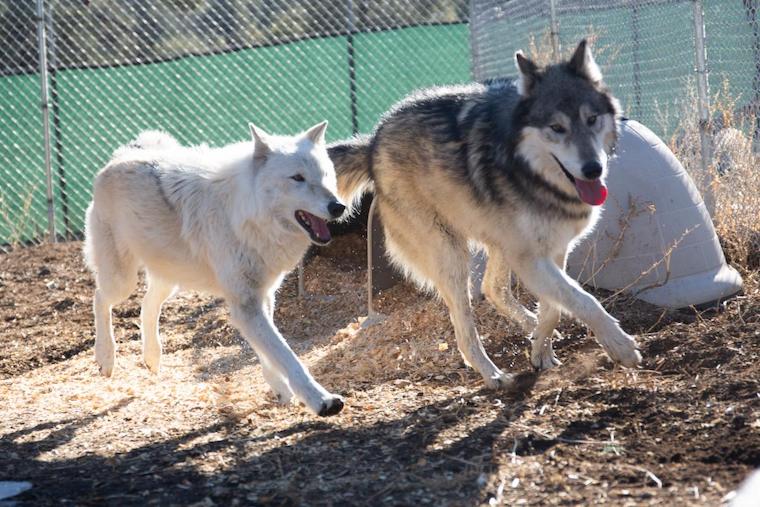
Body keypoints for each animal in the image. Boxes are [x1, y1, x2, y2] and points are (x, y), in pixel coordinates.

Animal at [84, 122, 347, 416]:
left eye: (326, 175)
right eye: (297, 178)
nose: (338, 206)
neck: (248, 218)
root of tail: (121, 154)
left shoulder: (262, 296)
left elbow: (269, 350)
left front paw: (280, 388)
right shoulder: (246, 303)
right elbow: (287, 355)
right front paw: (321, 400)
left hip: (169, 279)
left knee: (146, 306)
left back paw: (152, 357)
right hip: (123, 280)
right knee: (100, 298)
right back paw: (105, 357)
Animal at [329, 40, 642, 388]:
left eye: (591, 119)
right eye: (556, 128)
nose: (593, 169)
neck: (532, 173)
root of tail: (372, 141)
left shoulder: (554, 250)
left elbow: (556, 306)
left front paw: (541, 350)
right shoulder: (530, 258)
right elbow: (584, 299)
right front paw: (620, 345)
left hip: (497, 244)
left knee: (493, 288)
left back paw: (529, 331)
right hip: (453, 256)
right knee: (465, 330)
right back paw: (493, 375)